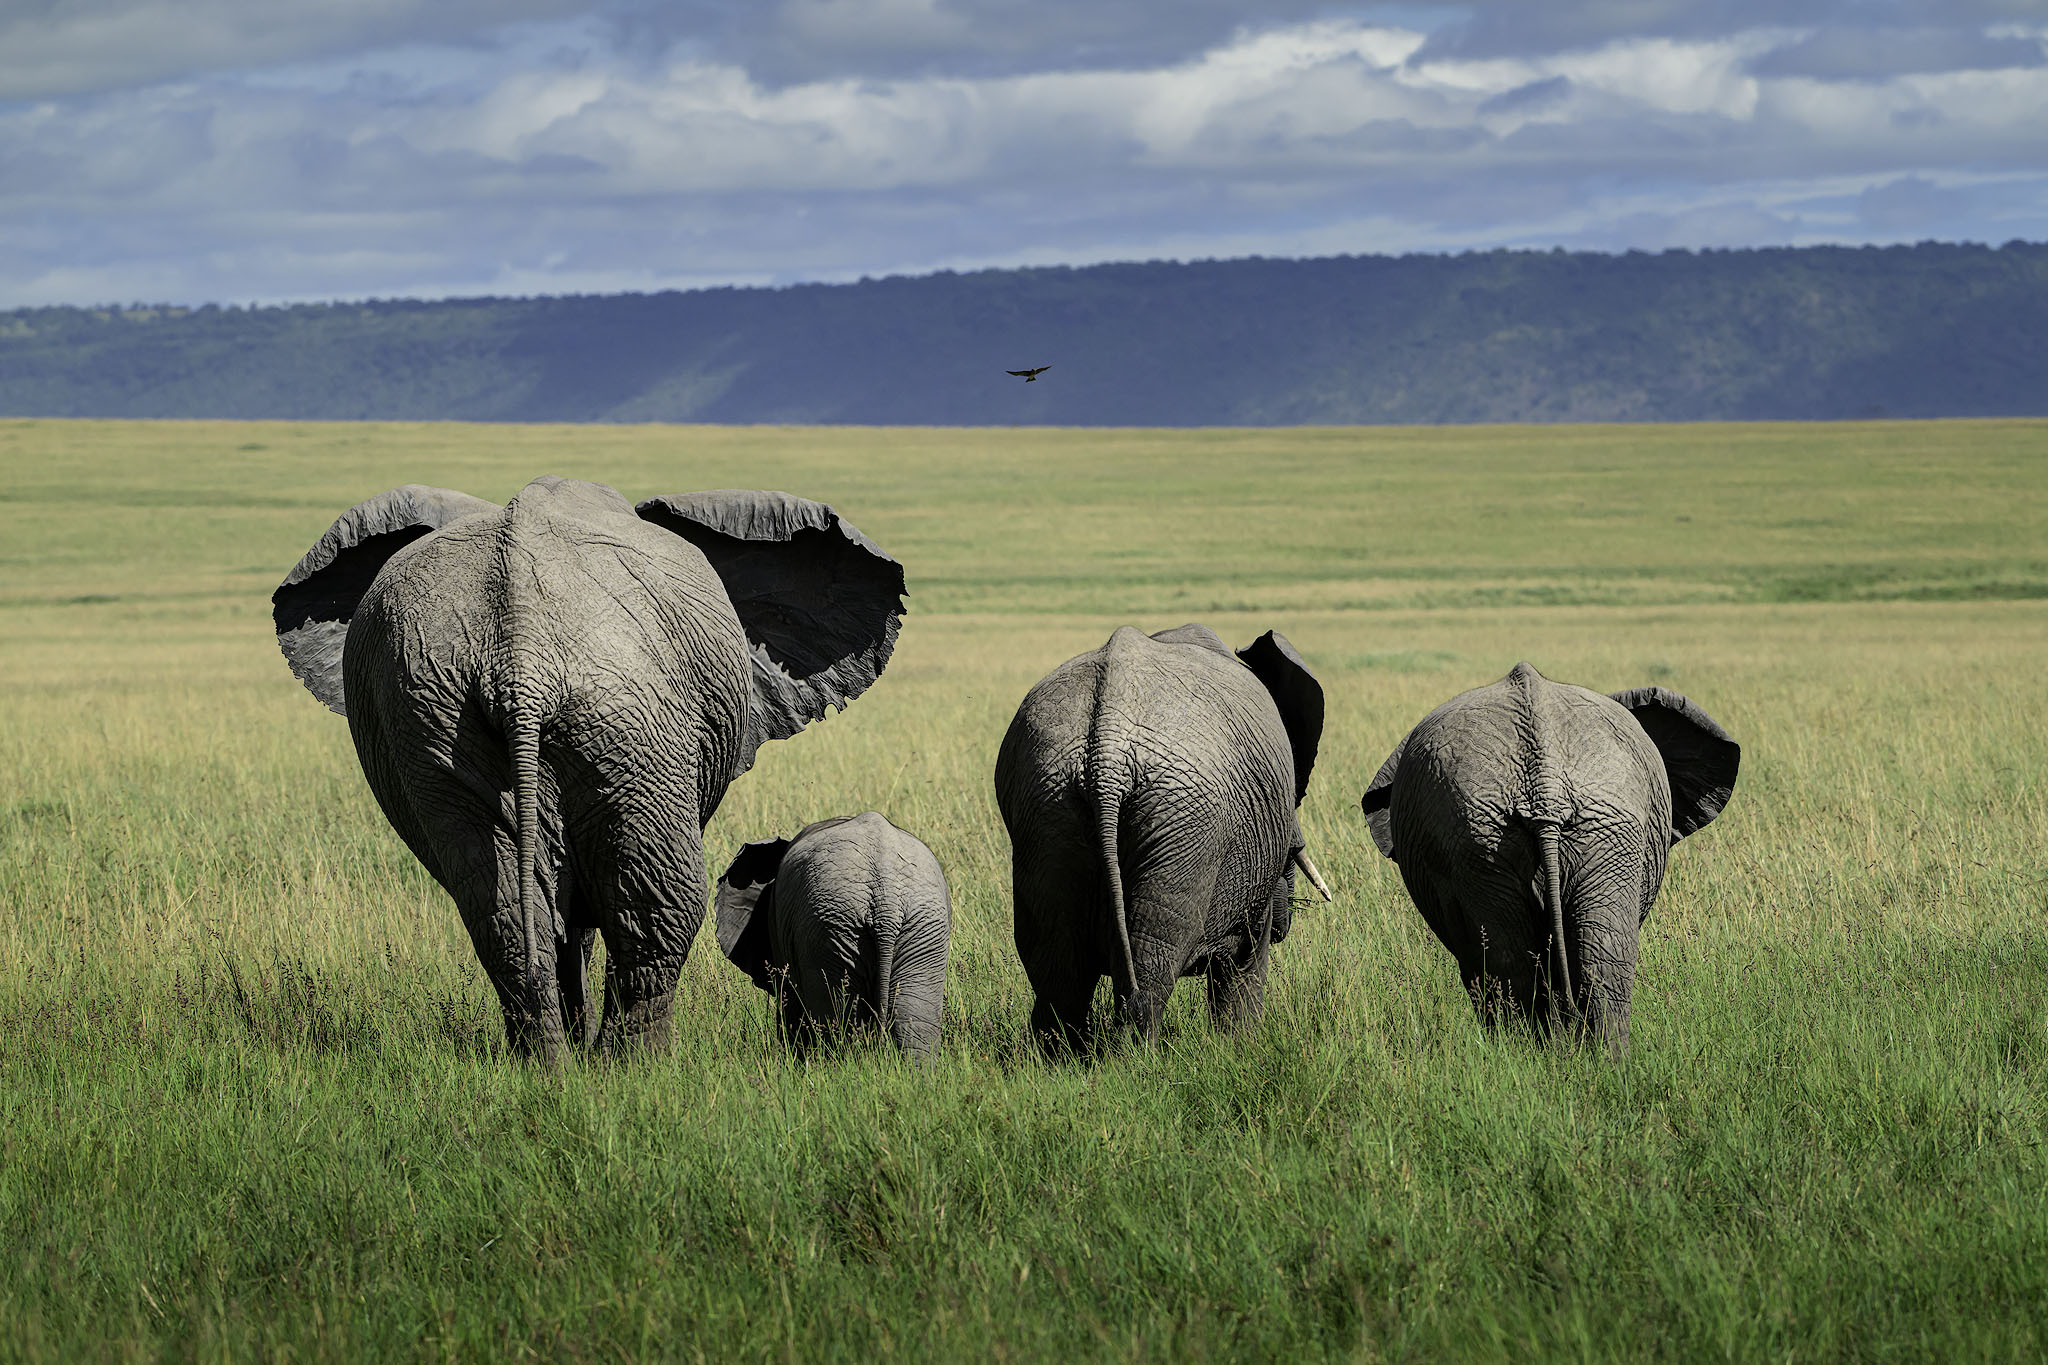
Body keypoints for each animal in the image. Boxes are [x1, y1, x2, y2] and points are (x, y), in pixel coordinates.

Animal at [271, 476, 906, 1061]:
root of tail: (519, 649)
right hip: (627, 715)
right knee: (660, 902)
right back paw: (634, 1070)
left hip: (431, 713)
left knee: (499, 903)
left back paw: (549, 1066)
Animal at [713, 812, 951, 1059]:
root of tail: (886, 898)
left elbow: (789, 1006)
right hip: (916, 927)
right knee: (915, 1030)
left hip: (833, 930)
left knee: (837, 1024)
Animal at [994, 624, 1332, 1053]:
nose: (1284, 930)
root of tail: (1106, 752)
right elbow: (1246, 957)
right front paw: (1240, 1049)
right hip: (1183, 822)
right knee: (1152, 959)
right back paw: (1135, 1059)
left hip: (1045, 803)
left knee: (1058, 966)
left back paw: (1056, 1060)